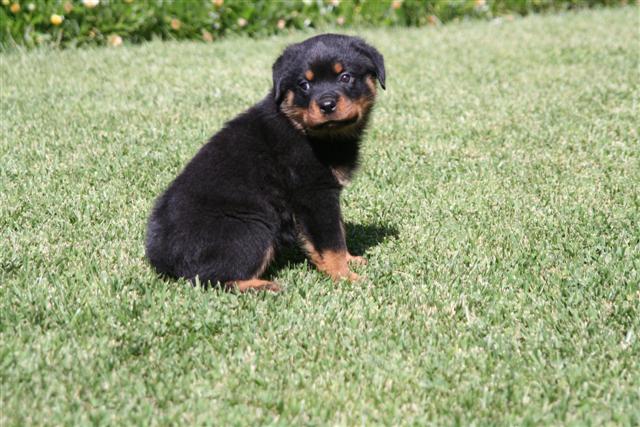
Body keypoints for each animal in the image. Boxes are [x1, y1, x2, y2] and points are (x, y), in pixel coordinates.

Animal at [145, 35, 384, 292]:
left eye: (345, 77)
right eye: (304, 84)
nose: (327, 104)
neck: (305, 130)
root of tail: (162, 261)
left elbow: (338, 230)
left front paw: (351, 261)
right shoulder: (315, 195)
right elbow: (331, 242)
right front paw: (346, 277)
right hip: (252, 229)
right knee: (208, 278)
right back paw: (267, 286)